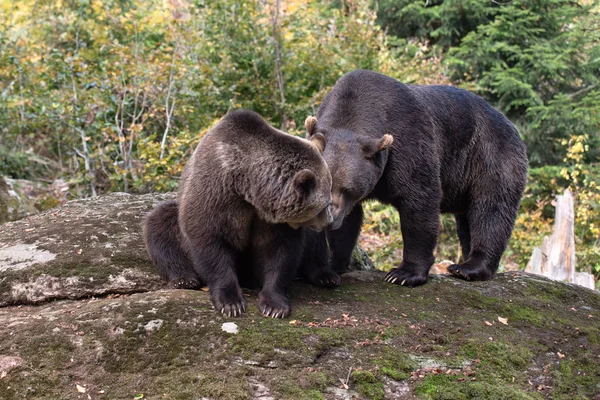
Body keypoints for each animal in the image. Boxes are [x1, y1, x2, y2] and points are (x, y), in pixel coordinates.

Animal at [141, 109, 338, 318]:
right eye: (325, 204)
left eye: (329, 199)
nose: (329, 221)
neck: (247, 187)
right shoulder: (215, 194)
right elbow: (210, 242)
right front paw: (231, 303)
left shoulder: (273, 219)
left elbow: (280, 251)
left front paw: (274, 305)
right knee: (161, 224)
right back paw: (184, 278)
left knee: (314, 243)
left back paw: (325, 276)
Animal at [308, 70, 528, 286]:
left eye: (347, 188)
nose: (327, 217)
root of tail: (511, 125)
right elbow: (348, 224)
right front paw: (331, 266)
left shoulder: (409, 145)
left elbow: (419, 204)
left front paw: (404, 273)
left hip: (490, 157)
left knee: (490, 210)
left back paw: (468, 267)